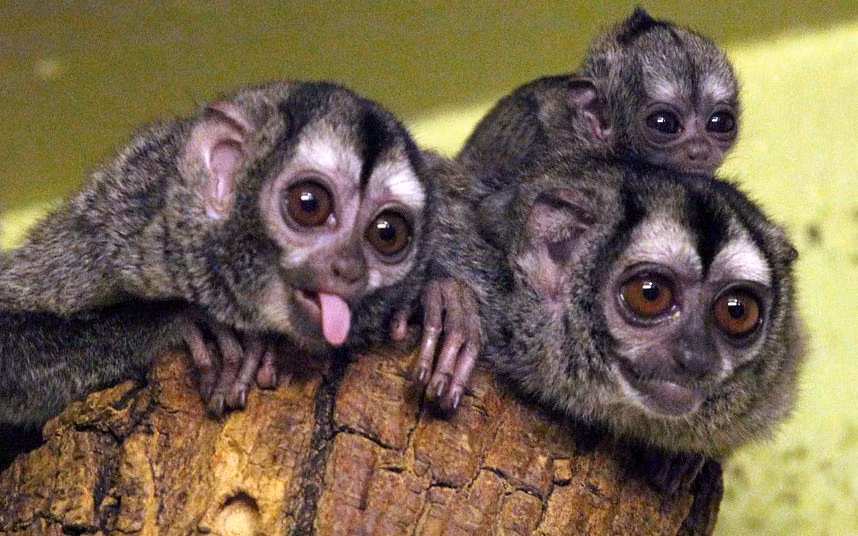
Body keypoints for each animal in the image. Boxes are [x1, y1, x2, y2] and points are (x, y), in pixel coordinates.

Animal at [0, 81, 440, 426]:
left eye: (388, 233)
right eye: (309, 204)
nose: (348, 268)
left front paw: (440, 308)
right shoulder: (112, 231)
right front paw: (184, 321)